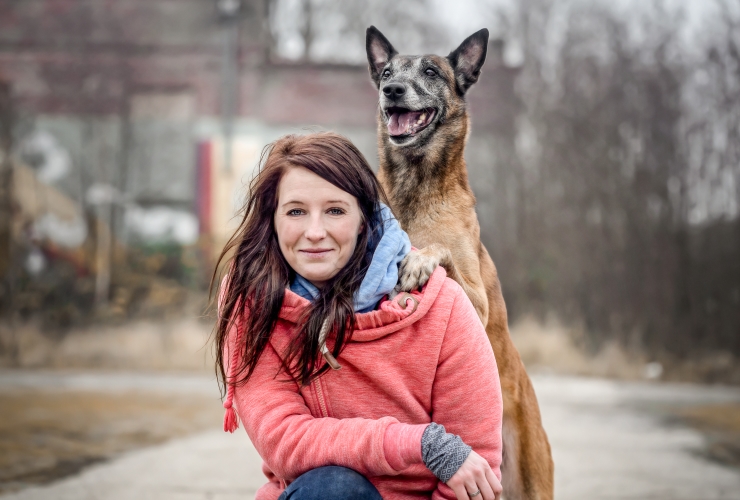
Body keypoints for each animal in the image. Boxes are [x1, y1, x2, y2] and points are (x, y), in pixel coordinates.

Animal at [368, 26, 552, 500]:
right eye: (387, 73)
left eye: (431, 71)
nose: (392, 91)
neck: (415, 190)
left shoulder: (477, 301)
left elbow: (440, 250)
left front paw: (419, 261)